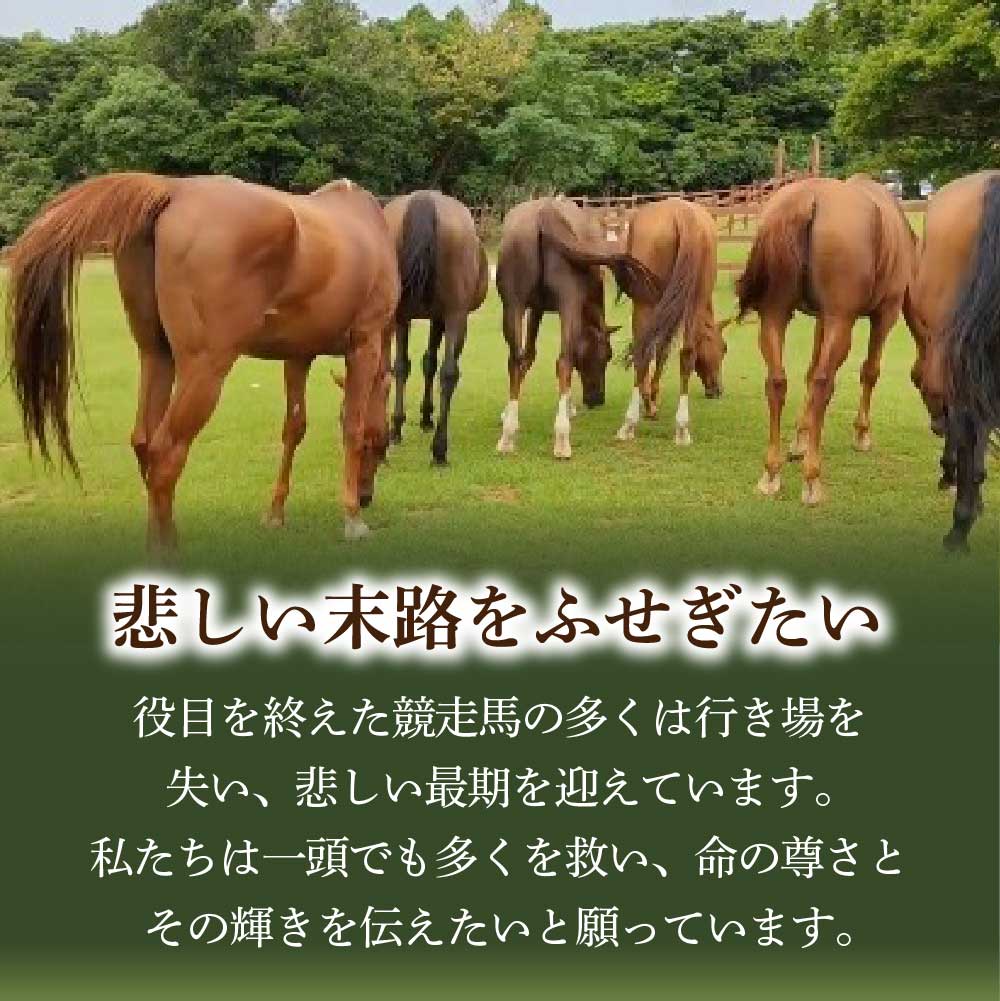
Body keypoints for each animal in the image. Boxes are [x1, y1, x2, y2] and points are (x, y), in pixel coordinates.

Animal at [5, 172, 399, 552]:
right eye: (380, 445)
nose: (366, 497)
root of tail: (173, 190)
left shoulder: (298, 355)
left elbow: (294, 428)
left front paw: (275, 512)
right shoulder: (364, 344)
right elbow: (353, 427)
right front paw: (352, 519)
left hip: (156, 356)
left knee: (144, 443)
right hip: (205, 369)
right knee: (165, 454)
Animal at [382, 190, 489, 465]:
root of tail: (424, 199)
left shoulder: (423, 317)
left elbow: (423, 363)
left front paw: (422, 417)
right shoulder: (439, 319)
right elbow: (430, 362)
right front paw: (426, 416)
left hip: (411, 316)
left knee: (404, 367)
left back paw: (407, 435)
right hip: (452, 317)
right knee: (446, 372)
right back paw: (436, 447)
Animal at [495, 196, 659, 458]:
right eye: (606, 356)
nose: (597, 399)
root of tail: (544, 214)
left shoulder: (535, 309)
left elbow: (528, 356)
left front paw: (508, 415)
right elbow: (564, 361)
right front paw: (569, 408)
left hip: (513, 306)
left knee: (515, 360)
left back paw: (508, 436)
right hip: (567, 304)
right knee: (564, 361)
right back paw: (562, 438)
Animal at [613, 197, 727, 446]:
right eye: (723, 348)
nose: (717, 390)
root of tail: (685, 217)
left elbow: (656, 351)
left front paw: (650, 401)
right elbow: (663, 351)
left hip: (645, 304)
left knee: (644, 352)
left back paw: (631, 422)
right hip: (693, 301)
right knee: (687, 354)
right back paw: (682, 428)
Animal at [736, 174, 916, 505]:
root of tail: (806, 200)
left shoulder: (821, 318)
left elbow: (808, 373)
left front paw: (800, 438)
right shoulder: (885, 313)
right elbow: (870, 371)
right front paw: (861, 433)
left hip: (776, 314)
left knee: (777, 381)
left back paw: (771, 473)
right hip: (841, 320)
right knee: (824, 383)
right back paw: (812, 478)